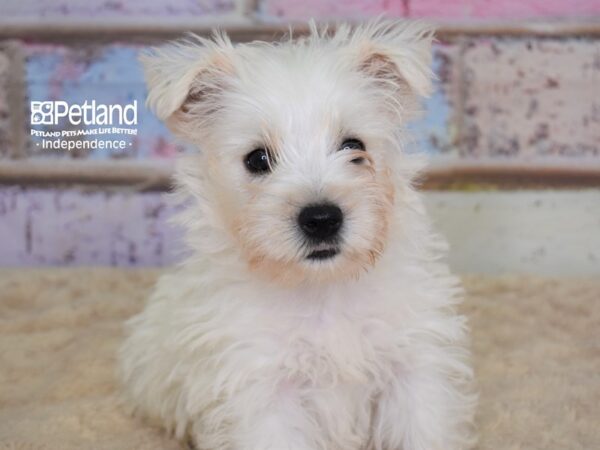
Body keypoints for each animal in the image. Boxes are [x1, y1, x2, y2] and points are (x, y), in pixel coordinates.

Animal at [120, 19, 478, 448]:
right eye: (257, 159)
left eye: (354, 145)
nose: (322, 218)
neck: (322, 289)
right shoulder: (262, 390)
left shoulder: (413, 368)